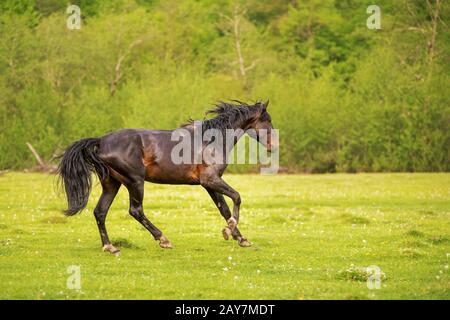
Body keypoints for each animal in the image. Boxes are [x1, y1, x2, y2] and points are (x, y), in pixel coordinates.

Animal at [56, 101, 274, 254]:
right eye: (268, 121)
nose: (273, 146)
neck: (212, 140)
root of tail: (101, 141)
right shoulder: (210, 180)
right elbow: (237, 197)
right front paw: (230, 230)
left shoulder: (209, 185)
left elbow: (224, 209)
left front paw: (239, 238)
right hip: (135, 181)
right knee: (135, 210)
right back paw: (163, 239)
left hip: (112, 183)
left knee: (100, 212)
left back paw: (110, 247)